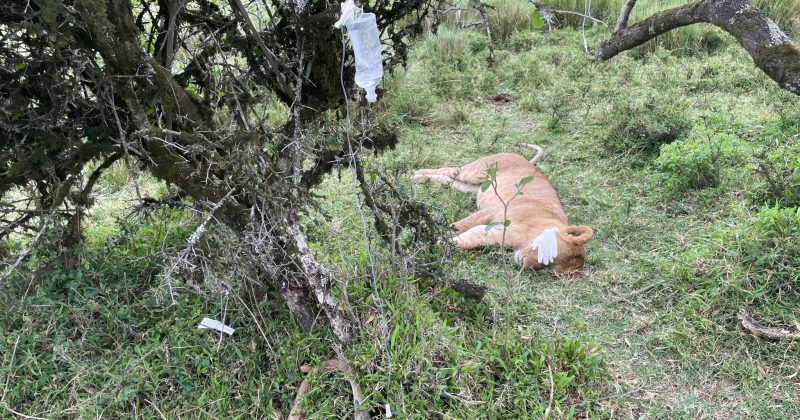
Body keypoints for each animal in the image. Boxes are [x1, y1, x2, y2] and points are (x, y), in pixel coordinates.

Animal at [412, 144, 593, 273]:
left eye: (547, 268)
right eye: (548, 256)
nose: (523, 264)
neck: (530, 234)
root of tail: (527, 161)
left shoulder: (495, 233)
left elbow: (466, 240)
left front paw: (440, 244)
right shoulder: (493, 211)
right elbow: (459, 225)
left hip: (472, 187)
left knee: (447, 180)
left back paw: (420, 178)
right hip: (475, 171)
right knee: (449, 169)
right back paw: (414, 174)